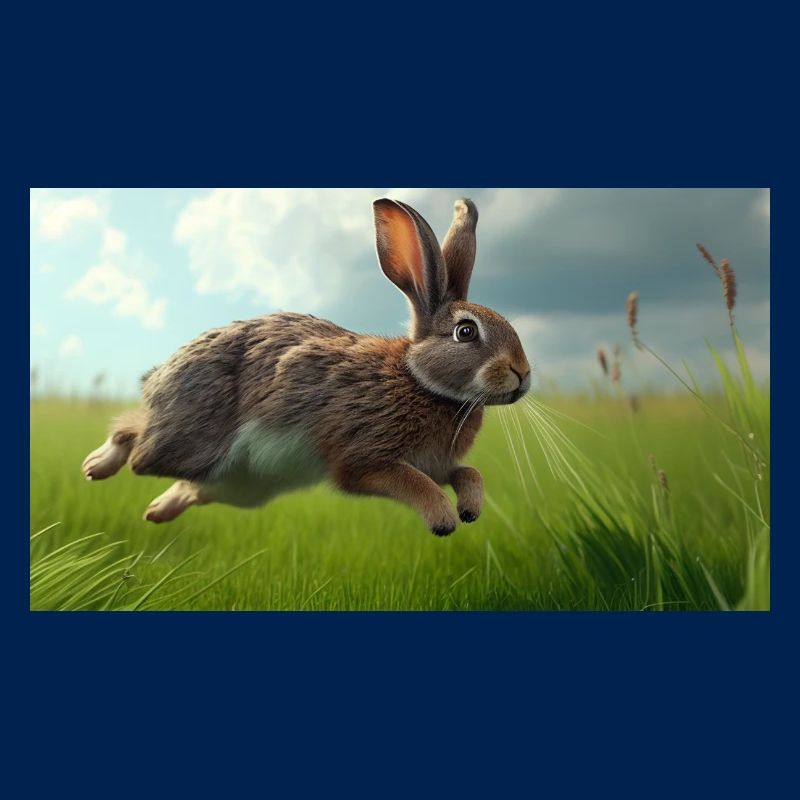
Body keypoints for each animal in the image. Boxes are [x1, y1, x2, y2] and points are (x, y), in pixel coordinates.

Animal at [81, 197, 531, 535]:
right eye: (466, 332)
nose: (523, 374)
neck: (420, 380)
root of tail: (160, 375)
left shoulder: (438, 464)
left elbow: (468, 473)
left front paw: (470, 509)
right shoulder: (363, 458)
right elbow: (411, 482)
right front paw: (442, 518)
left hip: (240, 488)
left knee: (190, 487)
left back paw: (157, 511)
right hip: (190, 443)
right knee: (136, 440)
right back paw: (97, 465)